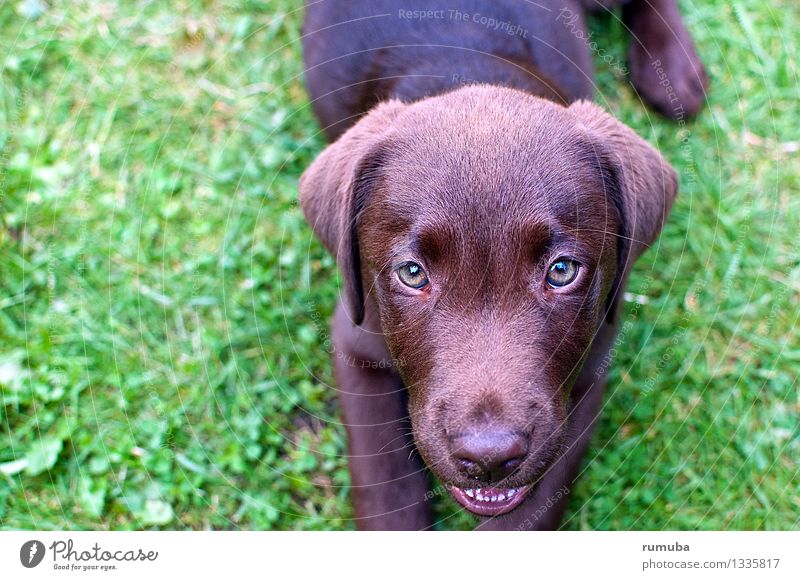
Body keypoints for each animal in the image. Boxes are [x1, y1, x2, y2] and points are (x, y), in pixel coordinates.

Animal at [298, 0, 708, 532]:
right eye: (412, 273)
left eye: (562, 271)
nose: (488, 458)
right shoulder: (356, 341)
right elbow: (388, 493)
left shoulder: (591, 364)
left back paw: (675, 74)